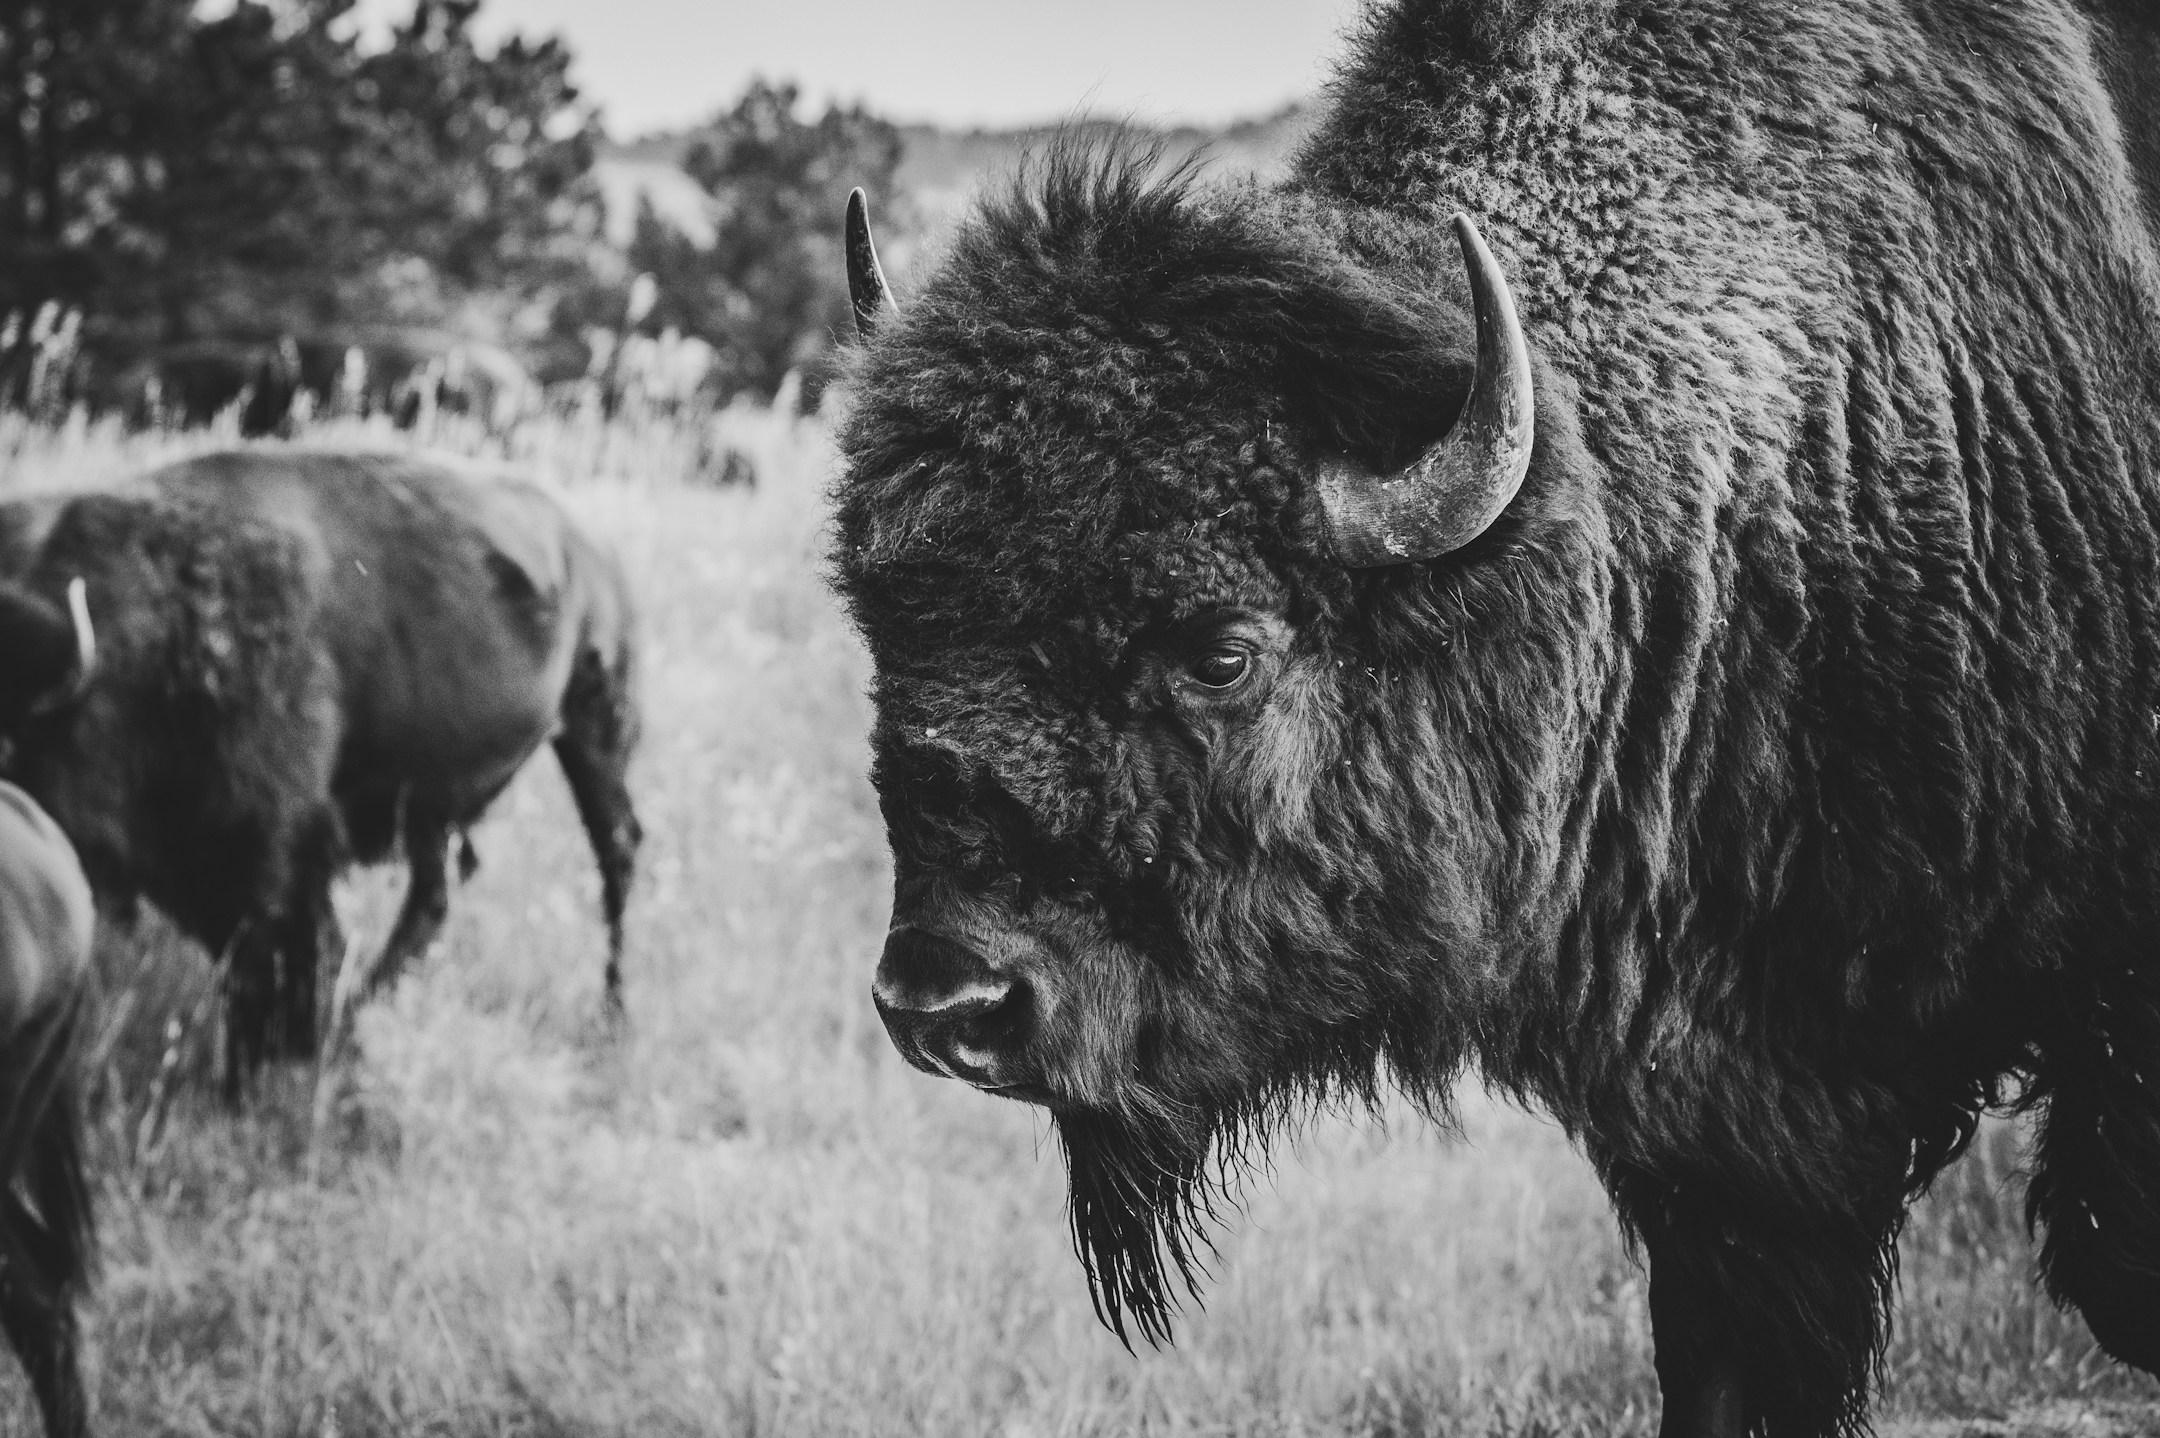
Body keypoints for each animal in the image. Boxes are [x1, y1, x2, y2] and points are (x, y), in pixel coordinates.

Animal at [0, 451, 642, 1093]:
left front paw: (260, 1075)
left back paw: (610, 1019)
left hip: (594, 729)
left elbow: (279, 954)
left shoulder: (273, 850)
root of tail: (592, 546)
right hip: (434, 799)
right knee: (435, 895)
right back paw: (364, 1006)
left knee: (616, 854)